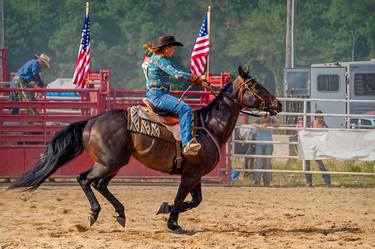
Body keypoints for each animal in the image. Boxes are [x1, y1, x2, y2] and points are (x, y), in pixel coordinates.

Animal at [8, 66, 282, 233]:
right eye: (256, 86)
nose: (278, 104)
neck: (208, 126)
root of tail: (91, 121)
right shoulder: (190, 175)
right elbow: (181, 198)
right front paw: (172, 223)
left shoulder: (196, 174)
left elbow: (195, 201)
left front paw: (165, 209)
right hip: (109, 163)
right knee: (85, 179)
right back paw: (95, 214)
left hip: (115, 163)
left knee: (100, 185)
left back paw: (120, 214)